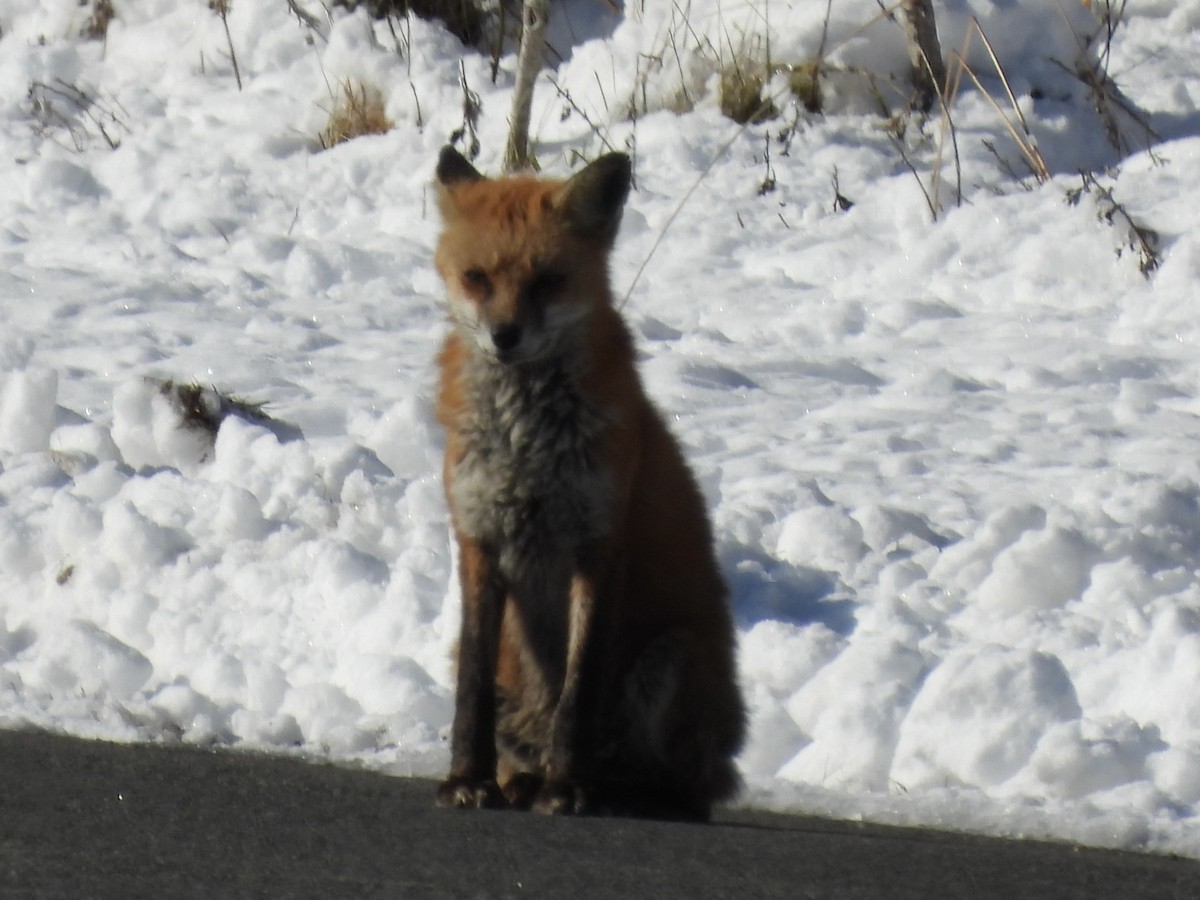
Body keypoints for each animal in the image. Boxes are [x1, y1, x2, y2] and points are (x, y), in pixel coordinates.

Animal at [431, 145, 745, 821]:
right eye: (477, 278)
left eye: (547, 281)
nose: (504, 337)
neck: (525, 448)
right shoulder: (477, 537)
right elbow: (470, 691)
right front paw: (467, 779)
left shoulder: (597, 545)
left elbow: (577, 694)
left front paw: (567, 788)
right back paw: (520, 781)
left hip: (671, 661)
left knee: (678, 788)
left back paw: (620, 794)